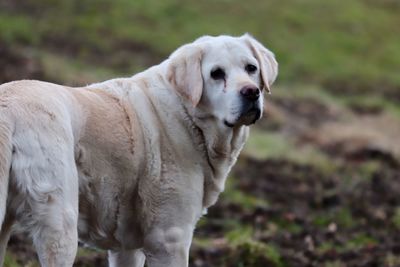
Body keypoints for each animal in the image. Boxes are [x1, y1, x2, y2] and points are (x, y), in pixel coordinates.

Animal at [0, 34, 278, 266]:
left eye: (251, 68)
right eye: (216, 73)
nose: (251, 92)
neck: (188, 115)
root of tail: (8, 109)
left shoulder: (126, 248)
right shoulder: (170, 239)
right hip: (59, 226)